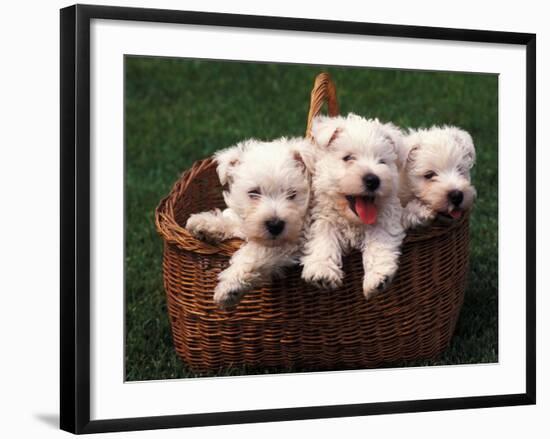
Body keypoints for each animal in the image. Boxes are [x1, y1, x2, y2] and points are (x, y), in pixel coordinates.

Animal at [188, 138, 312, 310]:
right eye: (254, 192)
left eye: (292, 194)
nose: (275, 225)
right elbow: (236, 222)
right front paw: (203, 223)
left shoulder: (296, 240)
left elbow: (254, 253)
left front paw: (230, 287)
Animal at [300, 113, 408, 300]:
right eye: (348, 158)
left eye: (382, 161)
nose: (373, 180)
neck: (352, 221)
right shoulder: (320, 217)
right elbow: (323, 238)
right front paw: (322, 272)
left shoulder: (384, 218)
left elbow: (379, 241)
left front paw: (378, 277)